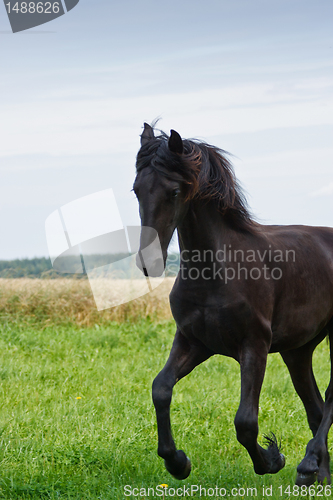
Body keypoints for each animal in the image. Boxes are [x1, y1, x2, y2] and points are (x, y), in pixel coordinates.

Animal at [134, 123, 332, 486]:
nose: (149, 262)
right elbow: (161, 388)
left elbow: (245, 422)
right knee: (315, 406)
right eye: (137, 190)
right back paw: (319, 475)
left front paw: (272, 458)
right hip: (298, 349)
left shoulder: (254, 345)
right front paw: (177, 462)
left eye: (173, 191)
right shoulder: (194, 341)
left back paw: (308, 465)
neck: (217, 273)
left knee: (330, 397)